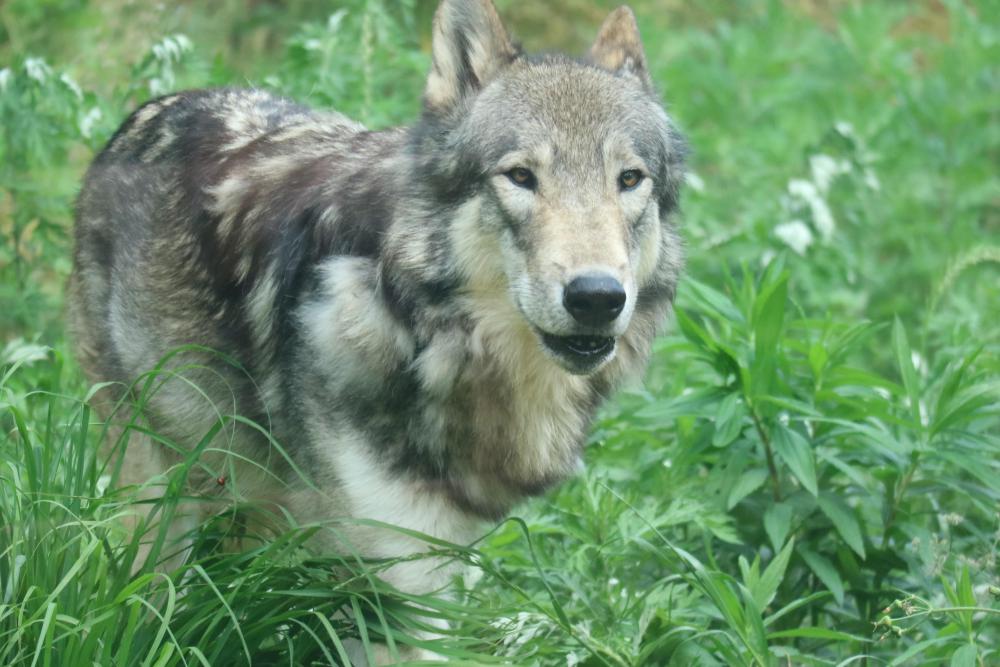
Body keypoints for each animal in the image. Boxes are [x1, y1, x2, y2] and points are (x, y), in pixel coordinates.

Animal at [64, 0, 688, 660]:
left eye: (629, 179)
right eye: (520, 177)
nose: (596, 297)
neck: (427, 340)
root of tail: (150, 111)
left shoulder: (439, 572)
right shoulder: (391, 590)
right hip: (156, 497)